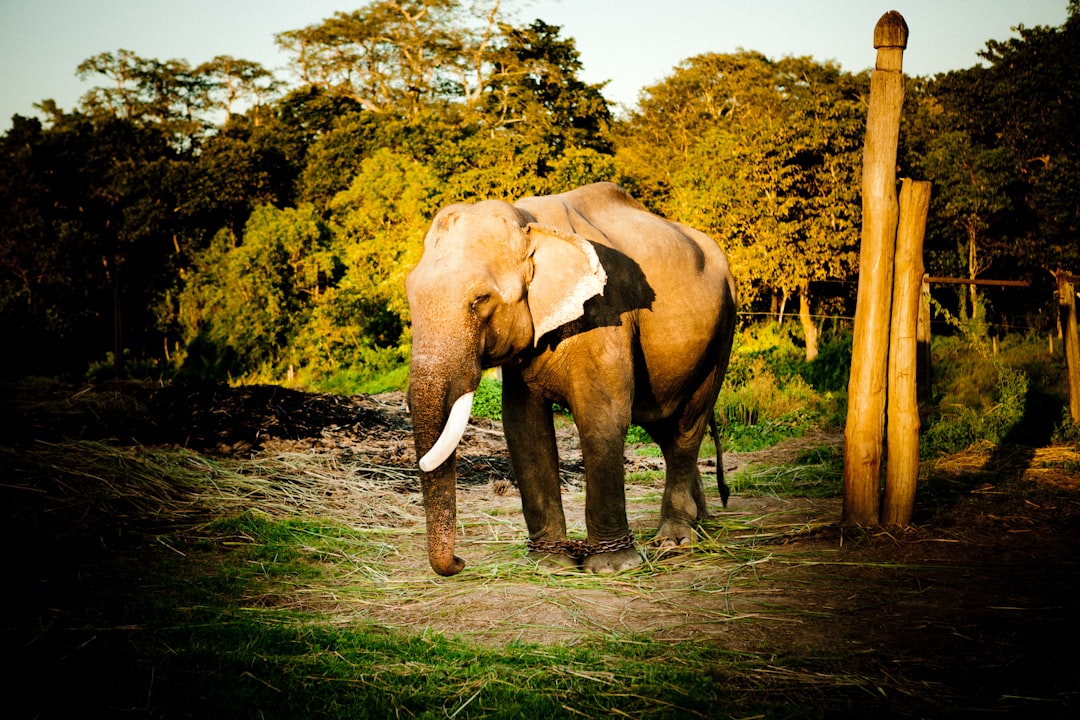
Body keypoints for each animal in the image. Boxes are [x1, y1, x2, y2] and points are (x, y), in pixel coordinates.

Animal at [401, 183, 738, 578]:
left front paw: (611, 567)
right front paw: (550, 564)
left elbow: (602, 416)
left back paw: (675, 541)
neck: (530, 224)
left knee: (688, 426)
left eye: (480, 299)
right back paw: (701, 524)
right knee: (664, 428)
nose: (459, 561)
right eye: (410, 294)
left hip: (723, 330)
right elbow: (524, 427)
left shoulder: (604, 311)